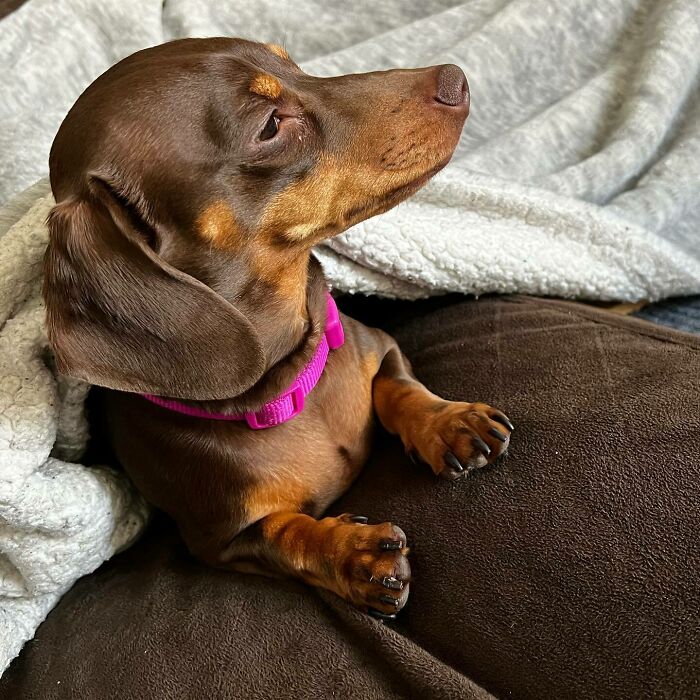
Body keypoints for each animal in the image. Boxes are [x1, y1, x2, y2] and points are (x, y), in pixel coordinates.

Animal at [45, 38, 516, 616]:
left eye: (293, 63)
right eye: (270, 125)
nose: (456, 78)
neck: (288, 386)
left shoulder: (381, 347)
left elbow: (399, 388)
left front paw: (450, 423)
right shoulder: (225, 540)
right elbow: (288, 537)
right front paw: (355, 555)